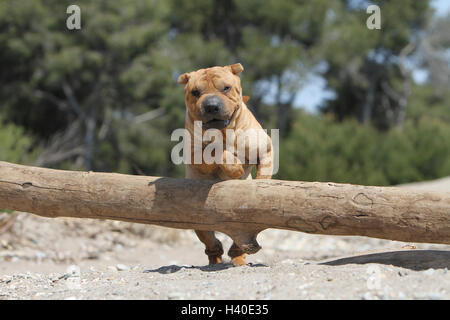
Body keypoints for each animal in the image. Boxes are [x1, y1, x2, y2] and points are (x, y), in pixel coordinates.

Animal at [178, 62, 272, 264]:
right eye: (195, 92)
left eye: (226, 88)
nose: (211, 106)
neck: (224, 132)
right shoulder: (196, 155)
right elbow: (215, 151)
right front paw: (235, 167)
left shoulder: (266, 148)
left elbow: (265, 170)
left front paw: (262, 182)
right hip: (199, 220)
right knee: (210, 241)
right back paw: (215, 259)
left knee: (243, 237)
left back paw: (238, 256)